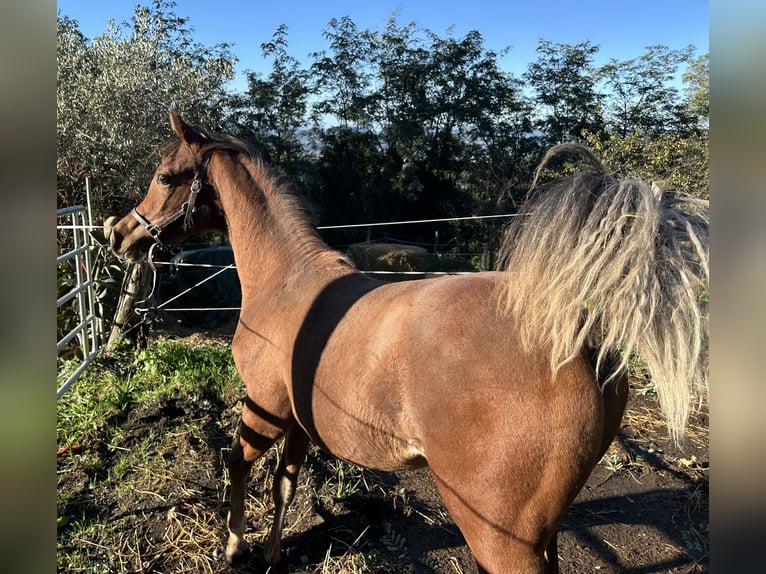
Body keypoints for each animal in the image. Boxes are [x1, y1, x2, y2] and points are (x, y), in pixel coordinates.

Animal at [105, 110, 708, 573]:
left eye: (165, 177)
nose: (119, 234)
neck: (288, 281)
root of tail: (577, 335)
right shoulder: (299, 421)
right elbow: (285, 486)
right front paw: (273, 554)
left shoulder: (266, 408)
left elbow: (236, 465)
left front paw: (233, 548)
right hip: (545, 535)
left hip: (501, 539)